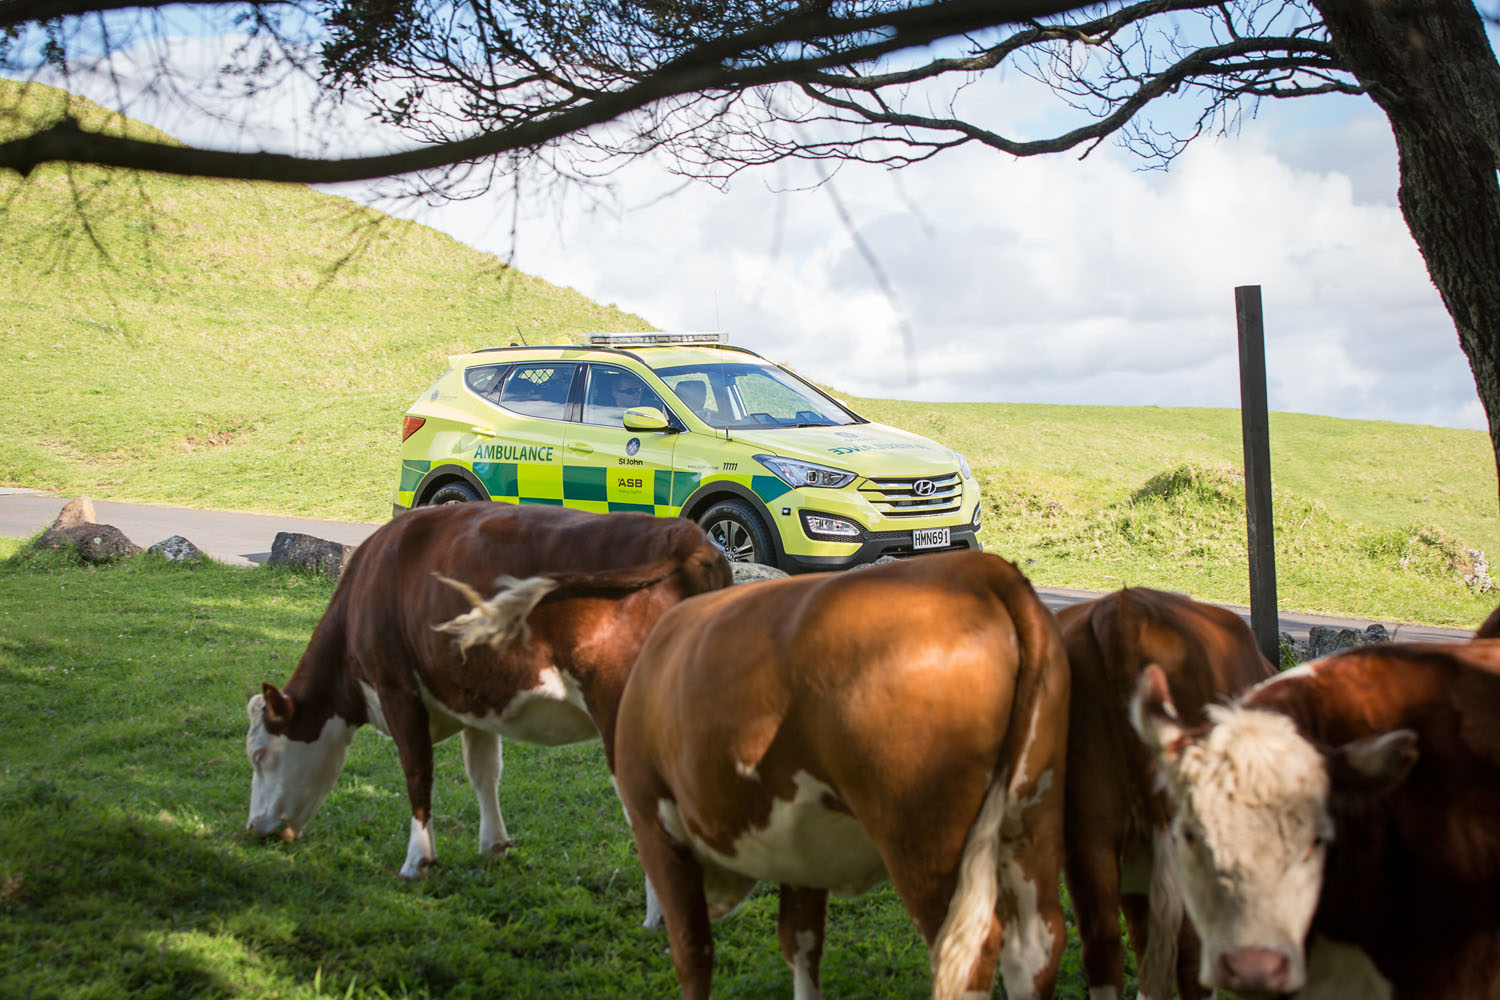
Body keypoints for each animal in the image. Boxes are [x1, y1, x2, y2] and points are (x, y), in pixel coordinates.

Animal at [246, 503, 732, 881]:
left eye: (259, 754)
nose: (254, 828)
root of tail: (684, 537)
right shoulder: (474, 698)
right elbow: (484, 772)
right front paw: (494, 846)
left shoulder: (396, 688)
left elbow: (418, 773)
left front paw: (417, 861)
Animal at [615, 551, 1074, 1000]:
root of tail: (977, 569)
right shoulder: (801, 847)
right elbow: (800, 942)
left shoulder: (652, 819)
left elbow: (692, 950)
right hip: (1032, 813)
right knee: (1036, 947)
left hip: (924, 837)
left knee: (967, 954)